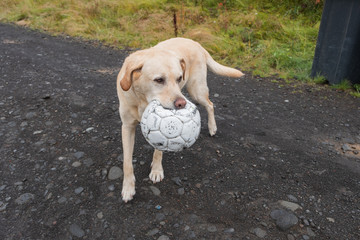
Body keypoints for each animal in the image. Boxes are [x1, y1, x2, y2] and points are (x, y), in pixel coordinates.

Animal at [116, 38, 243, 202]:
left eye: (178, 78)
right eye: (159, 80)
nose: (181, 103)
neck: (142, 99)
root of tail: (195, 43)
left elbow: (158, 151)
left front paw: (156, 170)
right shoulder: (127, 127)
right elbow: (127, 163)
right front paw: (128, 188)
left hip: (196, 90)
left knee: (210, 104)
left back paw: (212, 127)